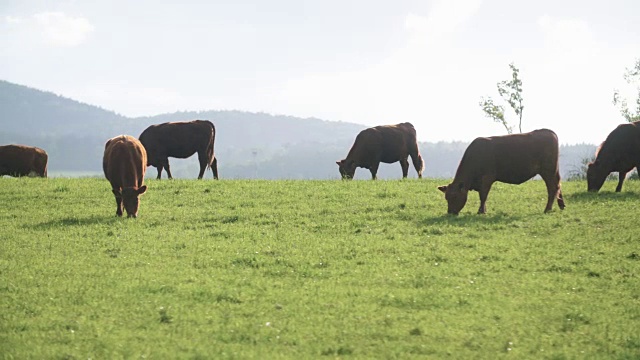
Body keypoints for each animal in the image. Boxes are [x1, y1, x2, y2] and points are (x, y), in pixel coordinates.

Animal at [436, 129, 564, 215]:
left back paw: (547, 209)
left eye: (454, 196)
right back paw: (562, 206)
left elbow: (483, 196)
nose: (450, 213)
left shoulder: (487, 178)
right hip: (554, 170)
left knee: (552, 188)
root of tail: (548, 131)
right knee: (558, 185)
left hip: (548, 170)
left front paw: (481, 212)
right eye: (446, 197)